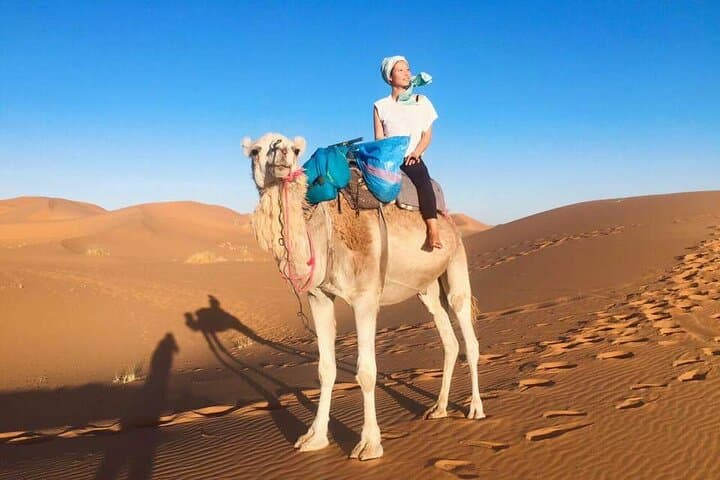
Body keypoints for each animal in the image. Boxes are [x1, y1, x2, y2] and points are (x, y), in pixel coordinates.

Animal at [242, 132, 485, 460]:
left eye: (294, 149)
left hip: (456, 263)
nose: (282, 154)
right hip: (428, 288)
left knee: (467, 334)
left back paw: (475, 409)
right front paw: (314, 438)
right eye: (256, 150)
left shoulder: (365, 297)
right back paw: (439, 408)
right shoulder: (319, 297)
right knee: (449, 340)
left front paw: (369, 445)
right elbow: (325, 370)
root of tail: (449, 221)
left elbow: (367, 372)